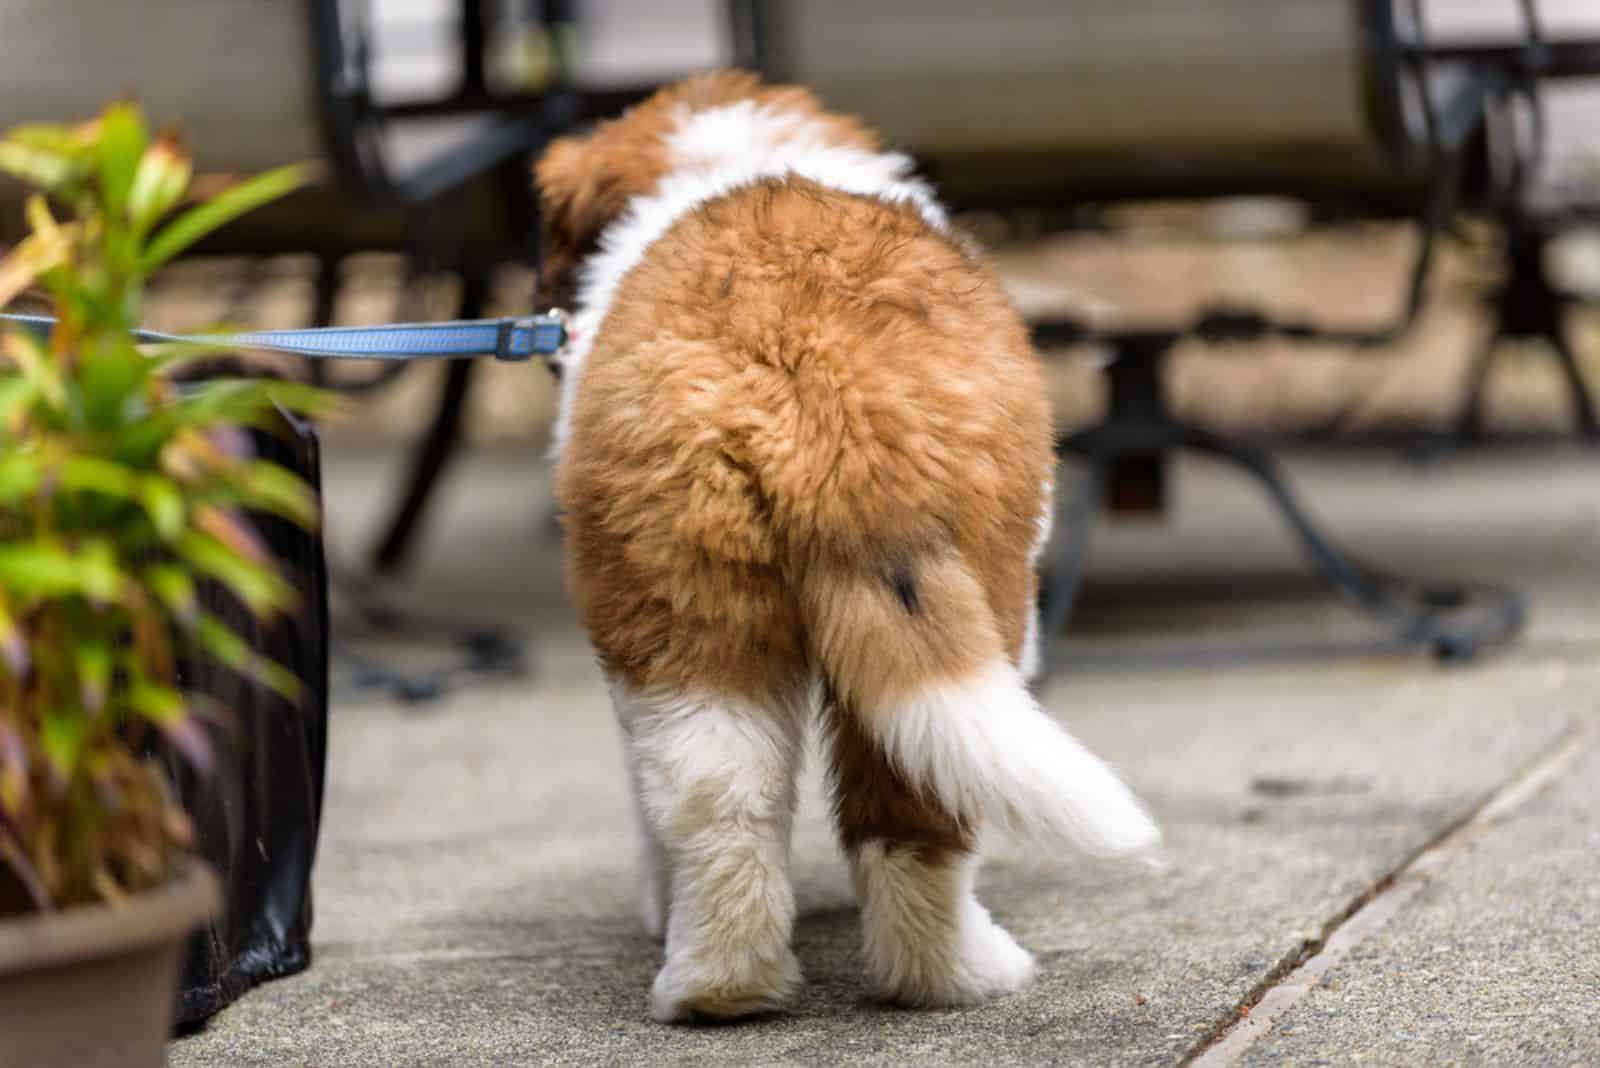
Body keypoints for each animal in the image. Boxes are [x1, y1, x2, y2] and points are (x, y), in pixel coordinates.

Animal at [537, 70, 1164, 1023]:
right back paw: (962, 973)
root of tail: (811, 374)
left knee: (726, 796)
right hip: (980, 587)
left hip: (683, 598)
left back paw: (725, 988)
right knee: (906, 808)